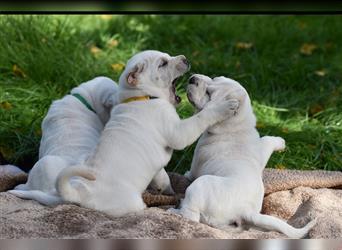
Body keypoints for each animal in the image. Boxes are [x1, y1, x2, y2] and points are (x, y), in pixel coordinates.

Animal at [56, 50, 239, 217]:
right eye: (163, 64)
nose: (185, 59)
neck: (143, 96)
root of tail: (80, 194)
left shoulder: (158, 169)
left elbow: (163, 178)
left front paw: (168, 191)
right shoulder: (178, 132)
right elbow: (201, 117)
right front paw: (224, 107)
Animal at [170, 74, 316, 238]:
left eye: (208, 94)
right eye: (214, 78)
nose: (193, 78)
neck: (237, 127)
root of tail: (246, 210)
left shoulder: (197, 162)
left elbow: (191, 173)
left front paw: (186, 174)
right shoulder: (260, 150)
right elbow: (267, 140)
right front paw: (281, 142)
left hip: (200, 184)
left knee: (191, 216)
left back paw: (174, 211)